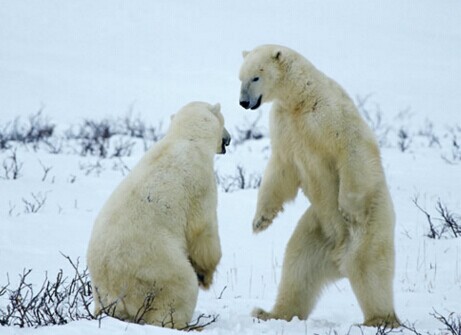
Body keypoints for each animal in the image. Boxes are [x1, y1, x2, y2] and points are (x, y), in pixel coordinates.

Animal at [85, 101, 229, 330]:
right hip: (156, 267)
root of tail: (116, 294)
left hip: (102, 291)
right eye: (224, 122)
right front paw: (206, 276)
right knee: (180, 289)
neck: (186, 139)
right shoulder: (202, 182)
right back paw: (187, 324)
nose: (228, 139)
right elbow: (203, 230)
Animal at [239, 44, 398, 328]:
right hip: (317, 230)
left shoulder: (330, 114)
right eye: (240, 78)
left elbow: (352, 148)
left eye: (255, 77)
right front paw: (260, 221)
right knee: (297, 266)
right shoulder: (284, 125)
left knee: (368, 267)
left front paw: (348, 208)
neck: (301, 98)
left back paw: (379, 319)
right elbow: (281, 168)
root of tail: (338, 259)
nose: (244, 102)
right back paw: (270, 313)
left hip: (371, 226)